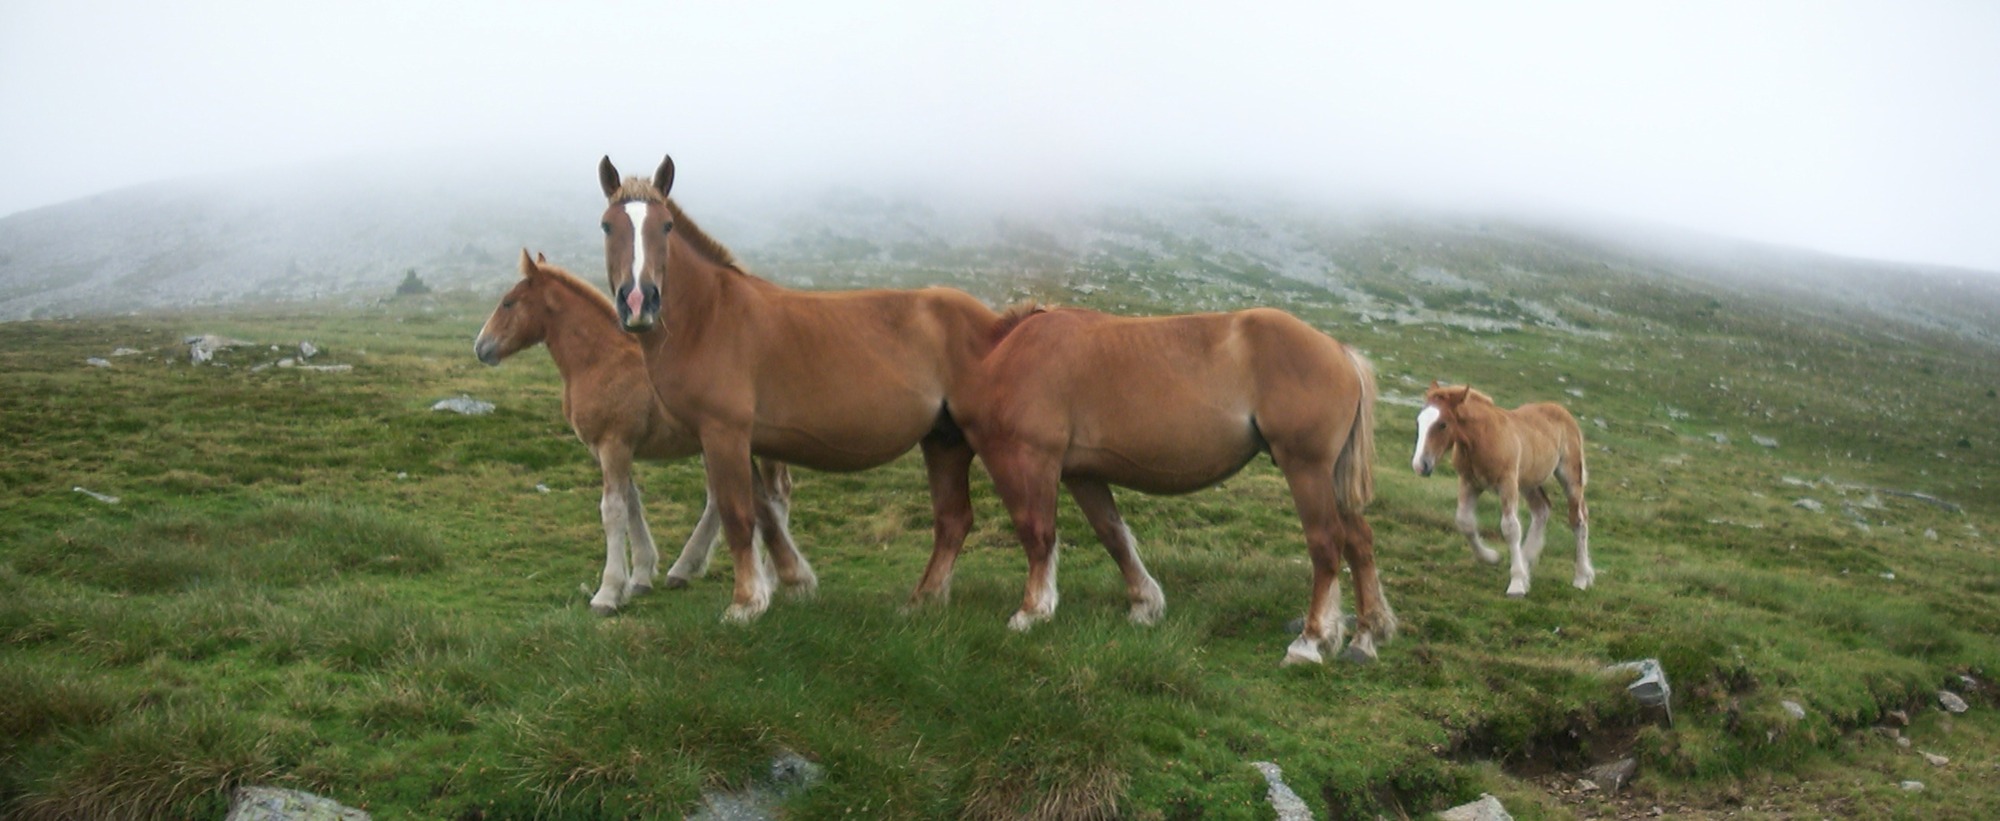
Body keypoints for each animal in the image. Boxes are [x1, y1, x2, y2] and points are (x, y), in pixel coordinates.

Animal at [474, 250, 804, 616]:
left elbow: (613, 511)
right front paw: (640, 578)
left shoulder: (614, 445)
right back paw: (685, 569)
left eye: (508, 302)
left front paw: (607, 593)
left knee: (776, 495)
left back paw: (775, 577)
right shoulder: (611, 449)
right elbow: (632, 505)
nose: (481, 347)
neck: (600, 359)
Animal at [592, 155, 1000, 620]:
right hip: (943, 440)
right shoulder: (739, 439)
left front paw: (745, 602)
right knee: (954, 519)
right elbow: (766, 515)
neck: (709, 316)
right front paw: (794, 581)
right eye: (607, 226)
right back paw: (924, 600)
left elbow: (738, 515)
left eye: (665, 226)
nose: (638, 302)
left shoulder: (723, 434)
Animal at [940, 304, 1392, 664]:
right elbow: (1113, 535)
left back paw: (1310, 641)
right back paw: (1366, 636)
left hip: (1307, 470)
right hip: (1331, 479)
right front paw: (1144, 605)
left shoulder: (1028, 459)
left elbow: (1036, 534)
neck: (998, 360)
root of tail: (1340, 352)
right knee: (1359, 541)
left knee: (1327, 544)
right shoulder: (1082, 473)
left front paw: (1031, 611)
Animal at [1408, 382, 1592, 600]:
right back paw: (1527, 563)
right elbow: (1464, 522)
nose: (1420, 465)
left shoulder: (1507, 483)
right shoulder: (1469, 482)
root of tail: (1561, 410)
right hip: (1529, 481)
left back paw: (1581, 577)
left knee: (1578, 519)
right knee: (1542, 509)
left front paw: (1517, 584)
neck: (1482, 438)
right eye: (1419, 421)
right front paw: (1492, 558)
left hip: (1570, 476)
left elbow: (1510, 528)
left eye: (1442, 424)